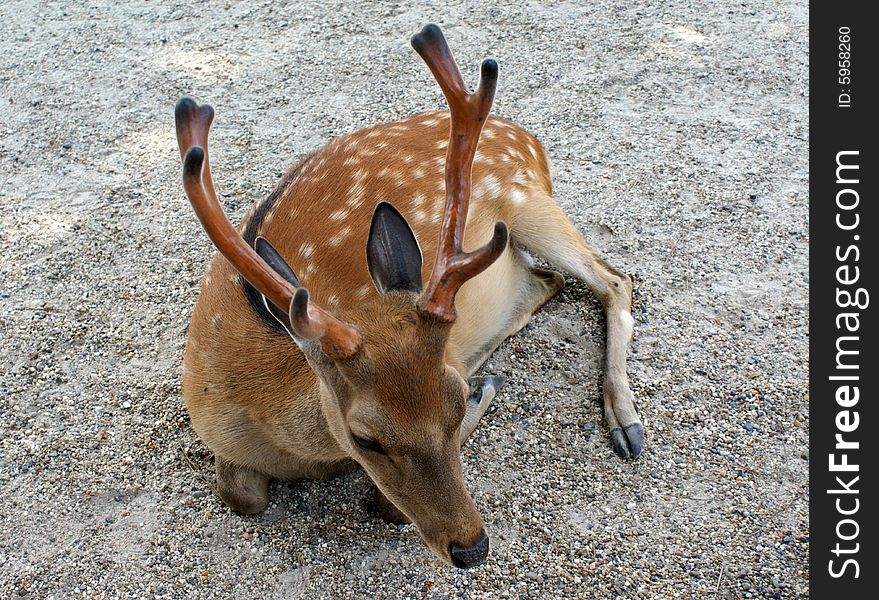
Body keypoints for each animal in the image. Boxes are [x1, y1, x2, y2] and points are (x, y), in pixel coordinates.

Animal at [175, 24, 648, 568]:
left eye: (457, 403)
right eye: (366, 438)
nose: (472, 547)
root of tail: (528, 138)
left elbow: (385, 504)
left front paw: (487, 387)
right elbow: (240, 496)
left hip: (529, 201)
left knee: (613, 279)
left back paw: (626, 423)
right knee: (550, 281)